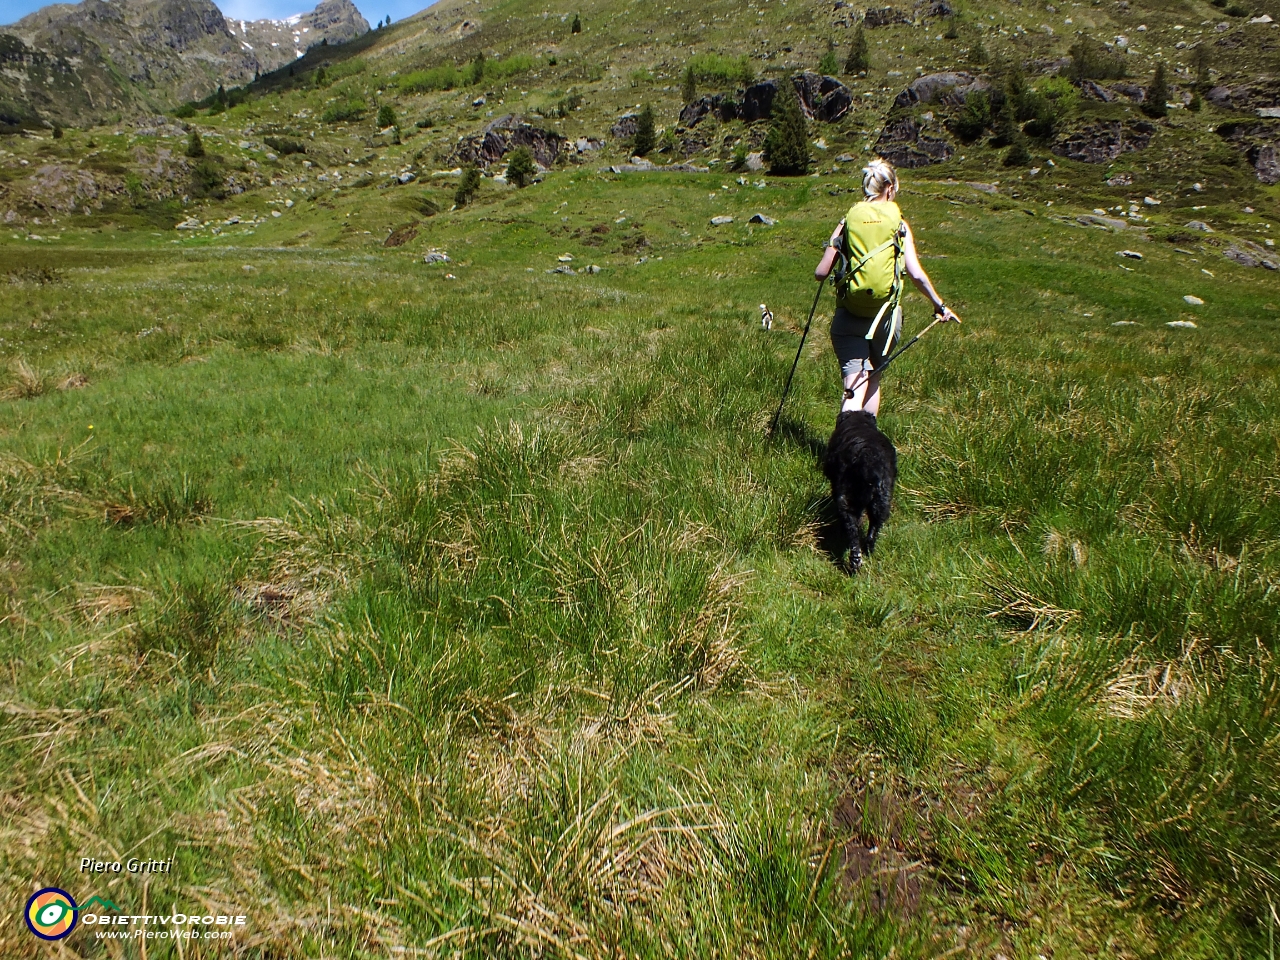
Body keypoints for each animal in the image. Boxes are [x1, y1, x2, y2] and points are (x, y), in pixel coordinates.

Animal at [824, 412, 896, 576]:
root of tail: (869, 464)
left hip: (848, 498)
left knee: (851, 528)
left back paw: (855, 558)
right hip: (881, 500)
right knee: (873, 529)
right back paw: (867, 551)